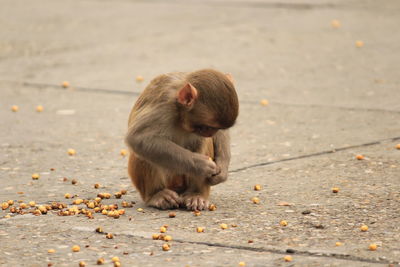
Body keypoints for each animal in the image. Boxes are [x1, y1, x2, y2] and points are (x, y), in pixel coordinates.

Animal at [126, 69, 238, 211]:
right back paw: (157, 195)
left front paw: (222, 170)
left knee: (203, 141)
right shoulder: (163, 106)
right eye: (208, 126)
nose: (211, 133)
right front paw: (201, 165)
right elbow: (139, 138)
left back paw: (196, 194)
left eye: (216, 128)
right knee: (144, 151)